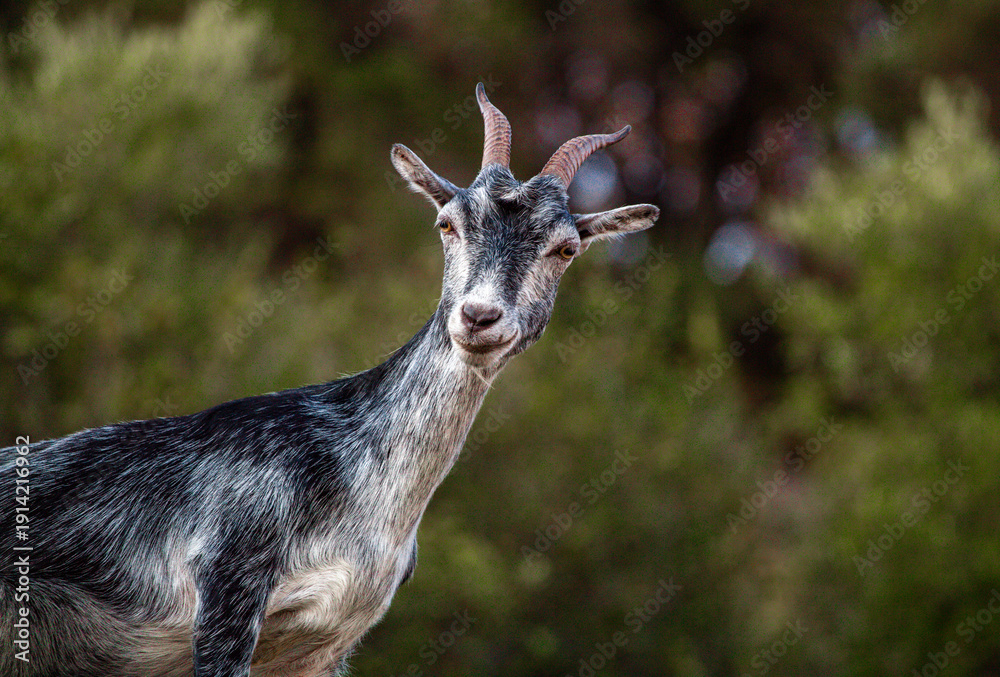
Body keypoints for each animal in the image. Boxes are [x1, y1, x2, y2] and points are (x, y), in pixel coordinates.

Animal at [1, 83, 659, 677]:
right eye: (448, 224)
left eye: (566, 249)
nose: (479, 317)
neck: (356, 477)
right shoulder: (227, 588)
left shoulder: (327, 642)